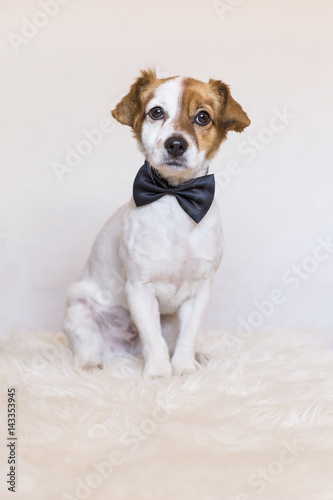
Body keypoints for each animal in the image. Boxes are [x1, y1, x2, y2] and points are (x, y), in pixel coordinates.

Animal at [63, 69, 249, 376]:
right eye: (156, 112)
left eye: (203, 117)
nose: (176, 144)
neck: (175, 197)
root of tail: (125, 350)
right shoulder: (139, 290)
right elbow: (154, 340)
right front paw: (159, 374)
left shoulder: (199, 292)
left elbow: (187, 337)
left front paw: (184, 369)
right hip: (79, 311)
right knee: (88, 346)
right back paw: (92, 365)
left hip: (169, 320)